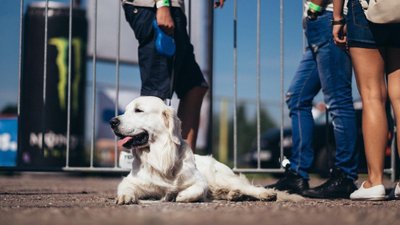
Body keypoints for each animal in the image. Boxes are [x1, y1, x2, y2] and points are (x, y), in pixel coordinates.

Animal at [109, 96, 300, 205]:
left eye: (138, 110)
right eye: (125, 111)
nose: (112, 121)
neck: (161, 157)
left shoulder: (199, 180)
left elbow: (198, 189)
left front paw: (181, 196)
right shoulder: (130, 181)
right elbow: (125, 187)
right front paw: (125, 197)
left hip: (219, 177)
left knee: (248, 187)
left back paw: (264, 194)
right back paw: (234, 195)